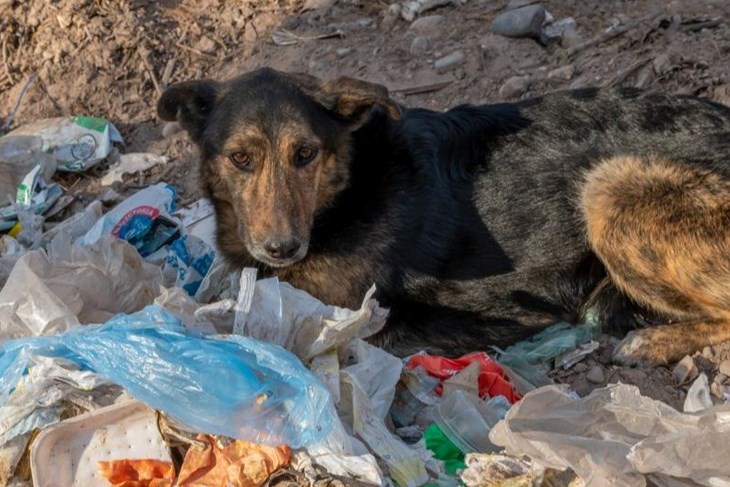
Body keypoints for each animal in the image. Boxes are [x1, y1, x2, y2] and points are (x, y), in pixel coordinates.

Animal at [156, 67, 728, 366]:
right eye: (240, 158)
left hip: (609, 191)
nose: (281, 248)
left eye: (305, 154)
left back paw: (653, 341)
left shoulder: (351, 318)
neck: (344, 194)